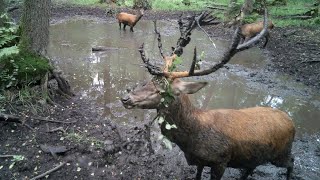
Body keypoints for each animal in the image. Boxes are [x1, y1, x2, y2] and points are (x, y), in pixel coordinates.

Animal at [122, 10, 296, 180]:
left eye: (161, 91)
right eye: (149, 82)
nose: (125, 98)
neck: (192, 141)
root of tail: (291, 122)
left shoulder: (221, 160)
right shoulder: (200, 161)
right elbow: (198, 175)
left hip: (281, 153)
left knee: (292, 161)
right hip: (257, 156)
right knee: (251, 167)